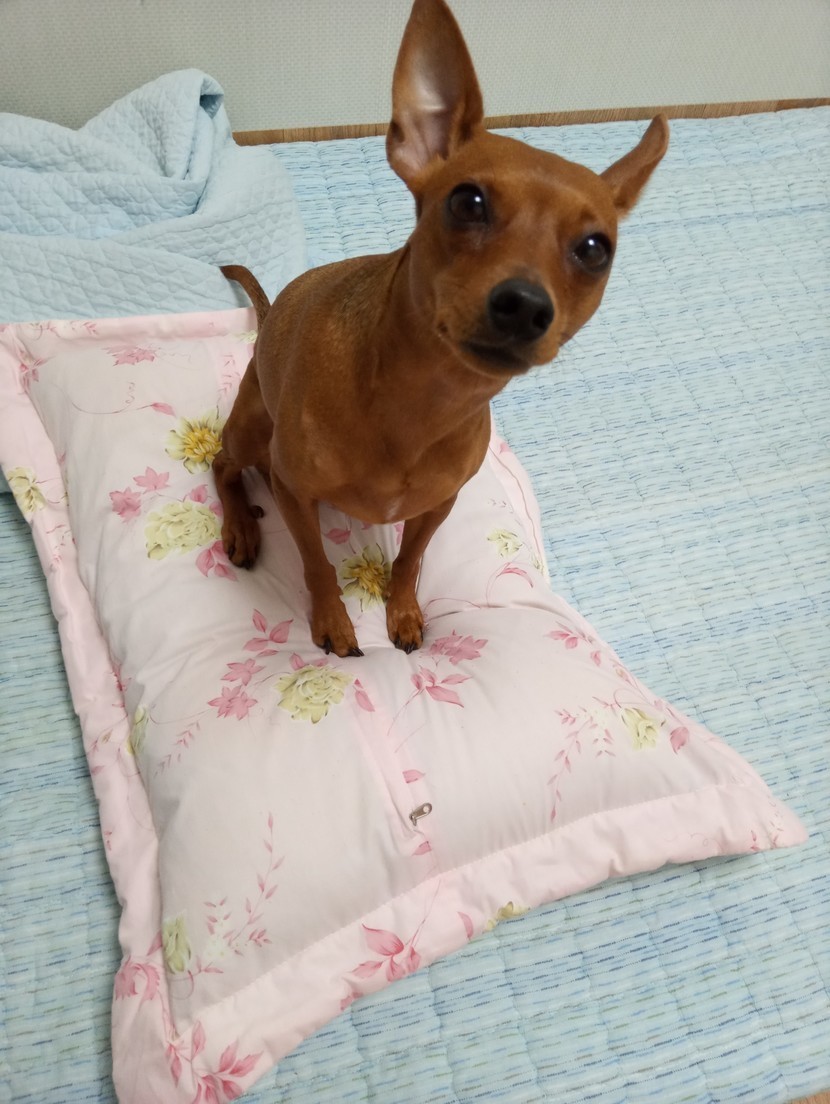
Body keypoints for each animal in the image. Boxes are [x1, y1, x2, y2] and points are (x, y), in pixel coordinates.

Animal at [214, 0, 668, 658]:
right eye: (467, 202)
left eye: (594, 249)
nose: (525, 306)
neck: (421, 403)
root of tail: (271, 312)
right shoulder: (296, 490)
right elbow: (318, 564)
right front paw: (332, 620)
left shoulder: (436, 507)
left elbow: (410, 562)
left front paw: (403, 612)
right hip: (254, 429)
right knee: (222, 465)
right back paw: (242, 526)